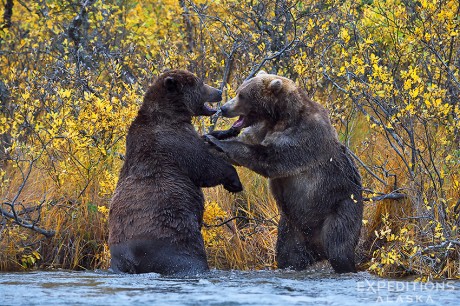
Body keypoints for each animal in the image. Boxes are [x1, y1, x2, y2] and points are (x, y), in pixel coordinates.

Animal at [109, 70, 243, 276]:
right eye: (200, 83)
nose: (219, 91)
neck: (172, 114)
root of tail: (131, 257)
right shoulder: (174, 140)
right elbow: (204, 165)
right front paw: (234, 181)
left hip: (119, 260)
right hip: (173, 242)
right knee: (189, 257)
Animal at [208, 71, 362, 272]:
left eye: (242, 95)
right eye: (239, 91)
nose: (224, 108)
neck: (278, 117)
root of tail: (317, 249)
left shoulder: (303, 137)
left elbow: (270, 158)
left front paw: (217, 142)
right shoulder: (262, 129)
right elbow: (248, 140)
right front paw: (214, 136)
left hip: (340, 207)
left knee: (339, 246)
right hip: (290, 228)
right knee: (288, 254)